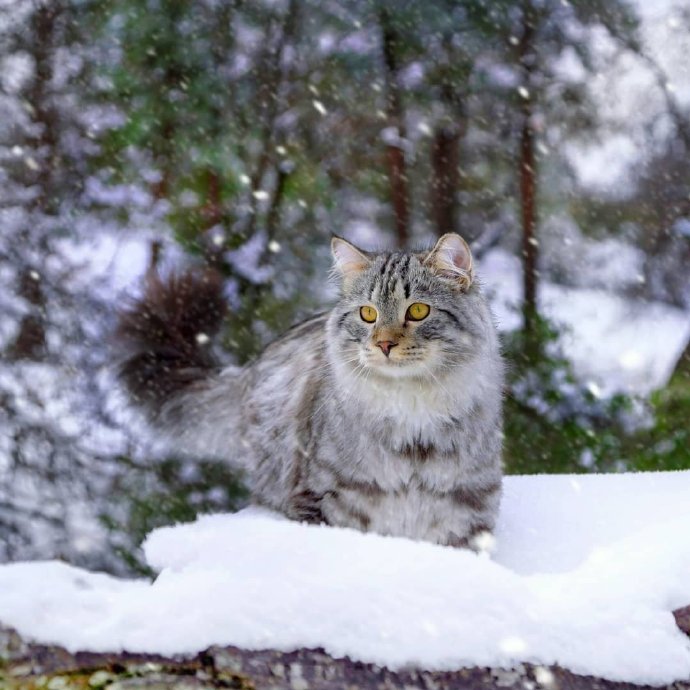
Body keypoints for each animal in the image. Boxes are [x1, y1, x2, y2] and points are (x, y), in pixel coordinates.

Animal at [118, 235, 502, 548]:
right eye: (368, 314)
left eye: (418, 310)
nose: (384, 344)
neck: (412, 416)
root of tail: (249, 369)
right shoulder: (319, 498)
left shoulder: (468, 514)